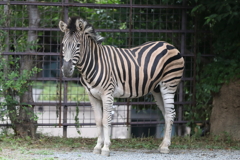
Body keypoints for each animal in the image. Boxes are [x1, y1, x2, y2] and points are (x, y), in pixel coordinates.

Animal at [59, 17, 185, 156]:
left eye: (78, 45)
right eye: (63, 45)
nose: (66, 70)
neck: (94, 63)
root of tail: (169, 45)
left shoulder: (107, 93)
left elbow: (106, 120)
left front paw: (106, 148)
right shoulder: (92, 95)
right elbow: (98, 120)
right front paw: (97, 147)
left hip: (169, 85)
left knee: (170, 113)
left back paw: (165, 147)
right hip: (157, 90)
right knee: (166, 114)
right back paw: (162, 145)